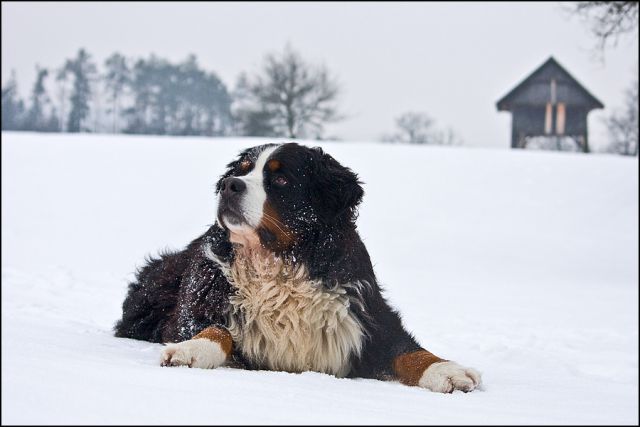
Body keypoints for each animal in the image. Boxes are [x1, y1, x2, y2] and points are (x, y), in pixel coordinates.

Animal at [115, 143, 482, 394]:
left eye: (280, 178)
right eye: (243, 170)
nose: (229, 184)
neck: (279, 265)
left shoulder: (364, 316)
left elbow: (408, 350)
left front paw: (447, 370)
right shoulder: (200, 304)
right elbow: (217, 330)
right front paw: (192, 350)